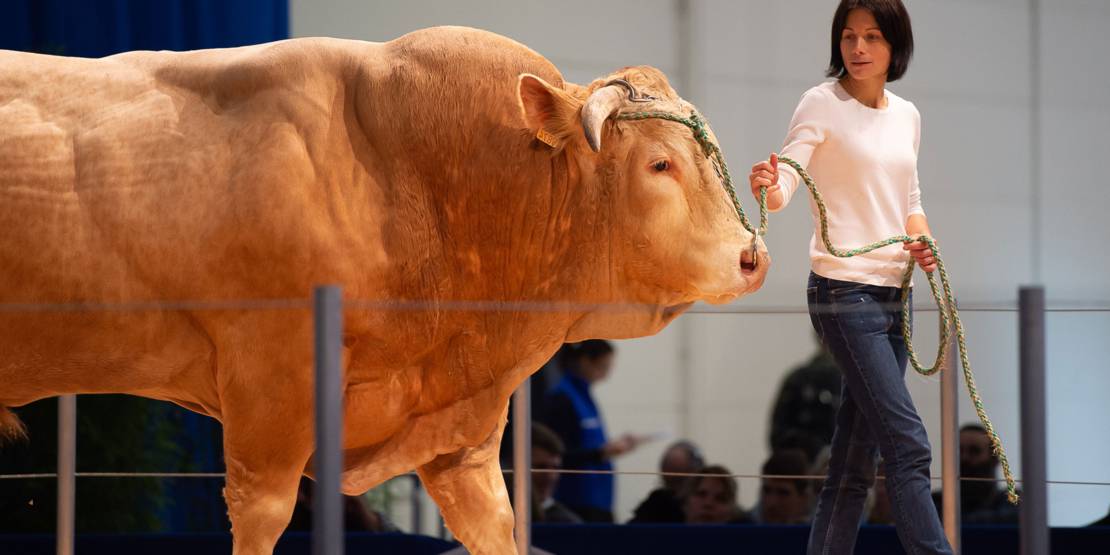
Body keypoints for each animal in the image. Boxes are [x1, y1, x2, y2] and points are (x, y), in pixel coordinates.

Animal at [0, 26, 768, 555]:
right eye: (659, 164)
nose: (751, 255)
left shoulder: (460, 426)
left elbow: (493, 521)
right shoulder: (271, 382)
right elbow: (262, 512)